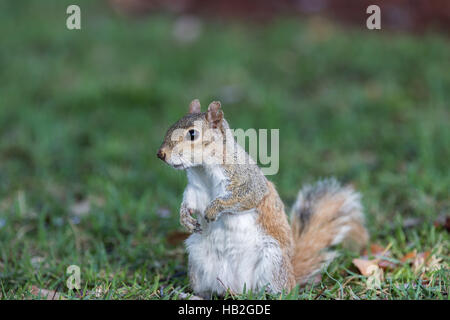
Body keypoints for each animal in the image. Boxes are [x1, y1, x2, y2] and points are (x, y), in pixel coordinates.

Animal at [156, 98, 368, 298]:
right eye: (170, 126)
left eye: (192, 134)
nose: (161, 154)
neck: (203, 170)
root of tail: (236, 288)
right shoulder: (195, 188)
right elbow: (189, 201)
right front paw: (184, 217)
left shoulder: (248, 182)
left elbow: (243, 197)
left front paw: (213, 209)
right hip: (198, 261)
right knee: (208, 290)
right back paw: (192, 295)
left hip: (272, 262)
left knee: (278, 290)